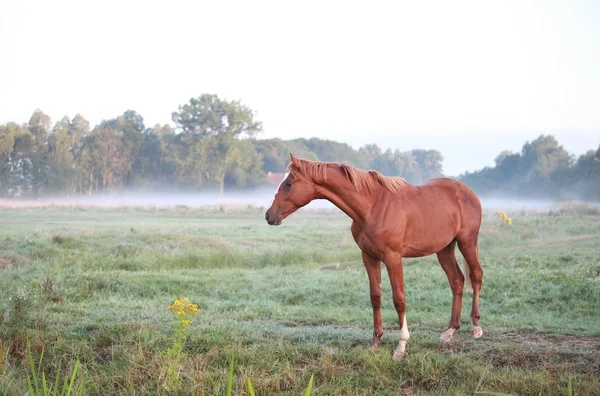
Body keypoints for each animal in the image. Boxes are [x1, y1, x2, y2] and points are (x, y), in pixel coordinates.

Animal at [264, 153, 486, 360]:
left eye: (289, 183)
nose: (269, 215)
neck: (372, 207)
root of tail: (468, 192)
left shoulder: (393, 258)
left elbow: (399, 299)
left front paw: (401, 347)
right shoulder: (369, 257)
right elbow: (375, 297)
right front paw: (375, 343)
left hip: (467, 242)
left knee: (476, 275)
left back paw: (475, 327)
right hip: (444, 249)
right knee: (457, 280)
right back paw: (450, 331)